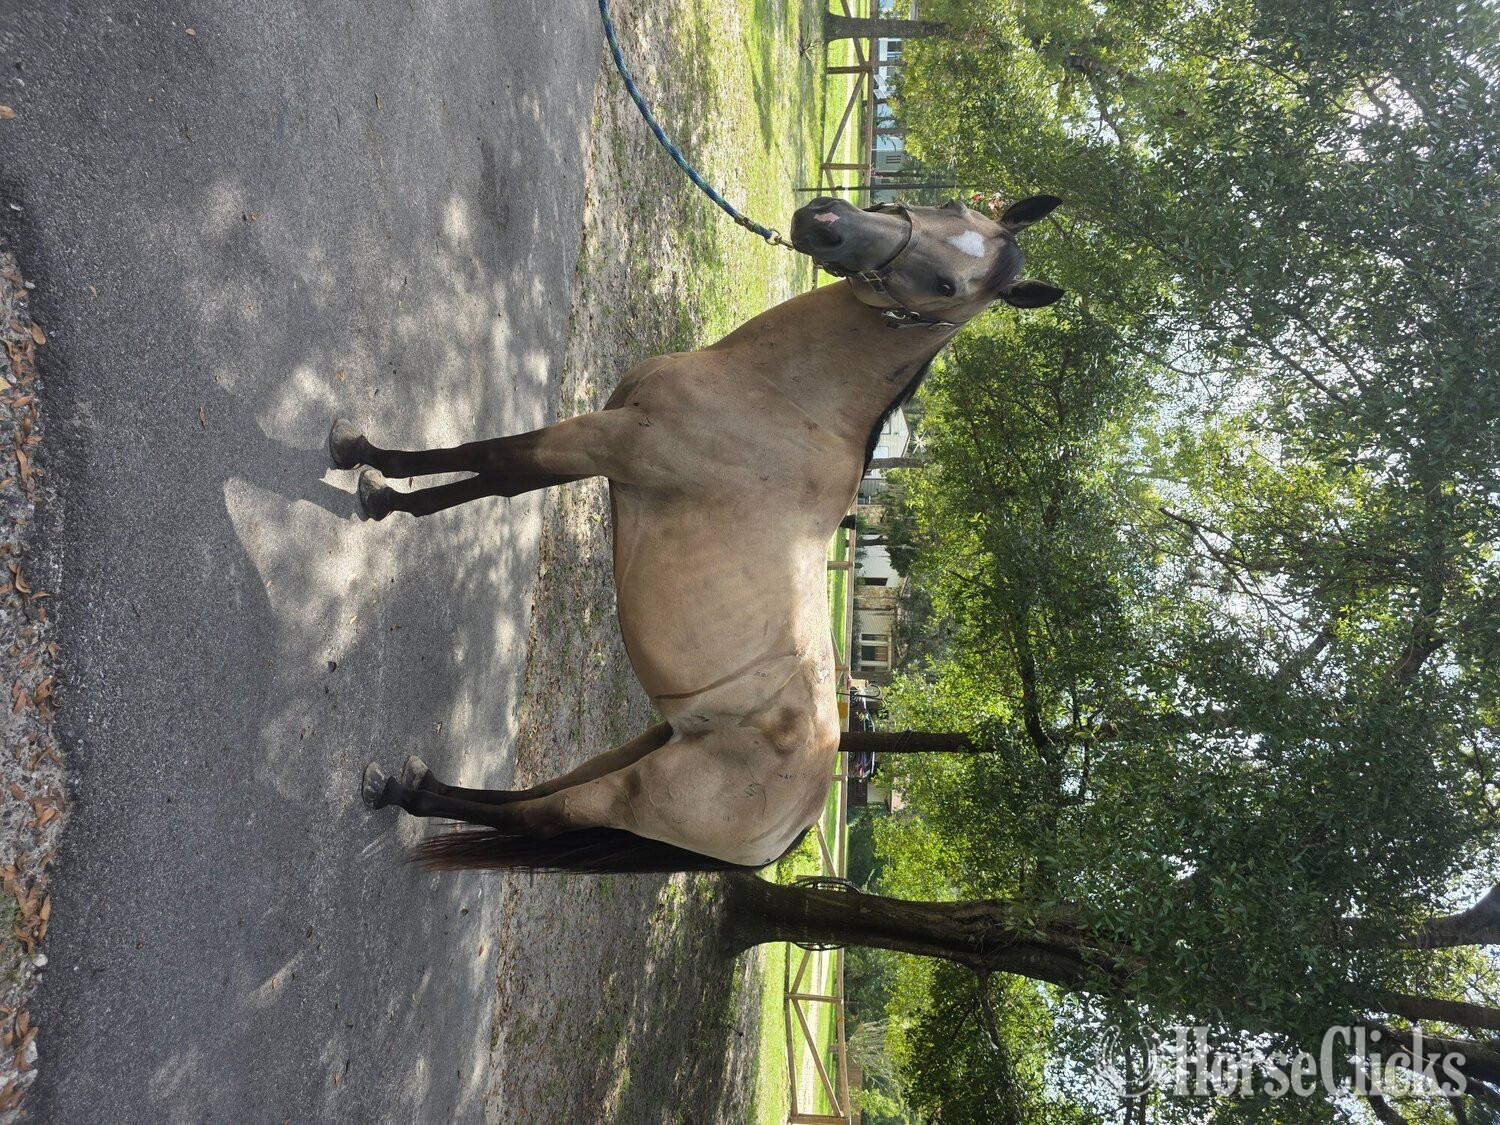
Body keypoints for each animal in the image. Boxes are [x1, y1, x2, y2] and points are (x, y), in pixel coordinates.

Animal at [335, 193, 1063, 874]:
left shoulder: (603, 441)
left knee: (542, 817)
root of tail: (799, 817)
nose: (826, 221)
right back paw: (421, 786)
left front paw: (368, 471)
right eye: (951, 206)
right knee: (539, 799)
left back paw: (403, 792)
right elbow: (497, 479)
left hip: (636, 793)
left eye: (950, 286)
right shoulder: (601, 442)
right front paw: (386, 489)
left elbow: (491, 458)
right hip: (649, 744)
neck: (785, 403)